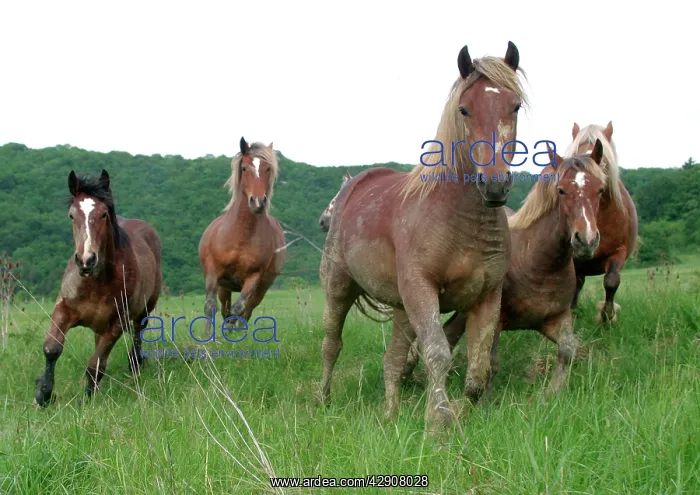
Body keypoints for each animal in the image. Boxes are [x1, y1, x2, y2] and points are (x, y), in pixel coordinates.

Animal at [34, 170, 162, 407]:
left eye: (103, 214)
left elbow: (95, 365)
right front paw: (43, 393)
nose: (86, 260)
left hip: (144, 310)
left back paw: (135, 366)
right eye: (72, 215)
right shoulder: (64, 309)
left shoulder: (117, 323)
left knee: (137, 335)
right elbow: (52, 348)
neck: (96, 282)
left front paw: (86, 400)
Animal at [198, 137, 285, 335]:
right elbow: (210, 306)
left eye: (267, 169)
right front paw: (207, 337)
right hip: (224, 287)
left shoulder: (254, 278)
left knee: (245, 311)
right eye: (244, 168)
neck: (241, 235)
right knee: (225, 309)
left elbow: (238, 310)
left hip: (261, 289)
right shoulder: (213, 272)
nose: (258, 202)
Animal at [320, 41, 529, 430]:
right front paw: (438, 422)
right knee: (331, 344)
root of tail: (352, 187)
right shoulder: (422, 291)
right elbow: (437, 354)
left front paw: (458, 414)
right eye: (464, 108)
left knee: (392, 359)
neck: (461, 219)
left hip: (403, 308)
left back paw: (390, 414)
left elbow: (477, 372)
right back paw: (322, 400)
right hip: (339, 289)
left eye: (515, 105)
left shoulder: (486, 298)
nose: (494, 185)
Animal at [401, 143, 608, 394]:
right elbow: (491, 364)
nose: (586, 241)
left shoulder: (556, 317)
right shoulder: (496, 322)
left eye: (600, 190)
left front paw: (552, 393)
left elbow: (567, 350)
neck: (538, 264)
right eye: (561, 191)